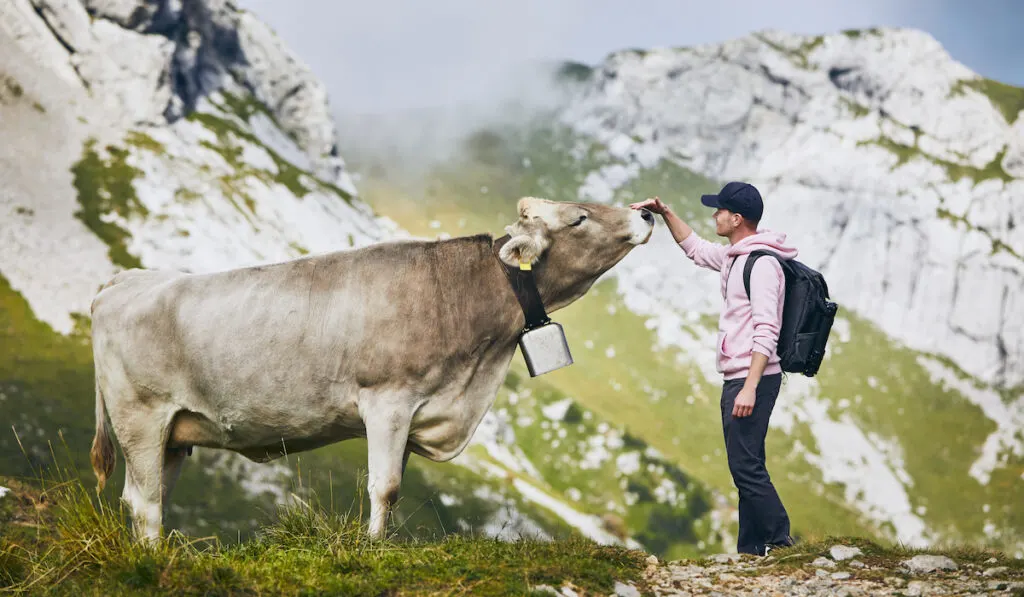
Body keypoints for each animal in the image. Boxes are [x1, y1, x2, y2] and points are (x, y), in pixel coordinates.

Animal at [90, 197, 655, 540]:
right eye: (579, 218)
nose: (645, 215)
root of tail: (124, 280)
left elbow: (396, 488)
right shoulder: (388, 400)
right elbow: (383, 487)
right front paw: (373, 548)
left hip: (175, 434)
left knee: (148, 497)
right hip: (141, 418)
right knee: (143, 502)